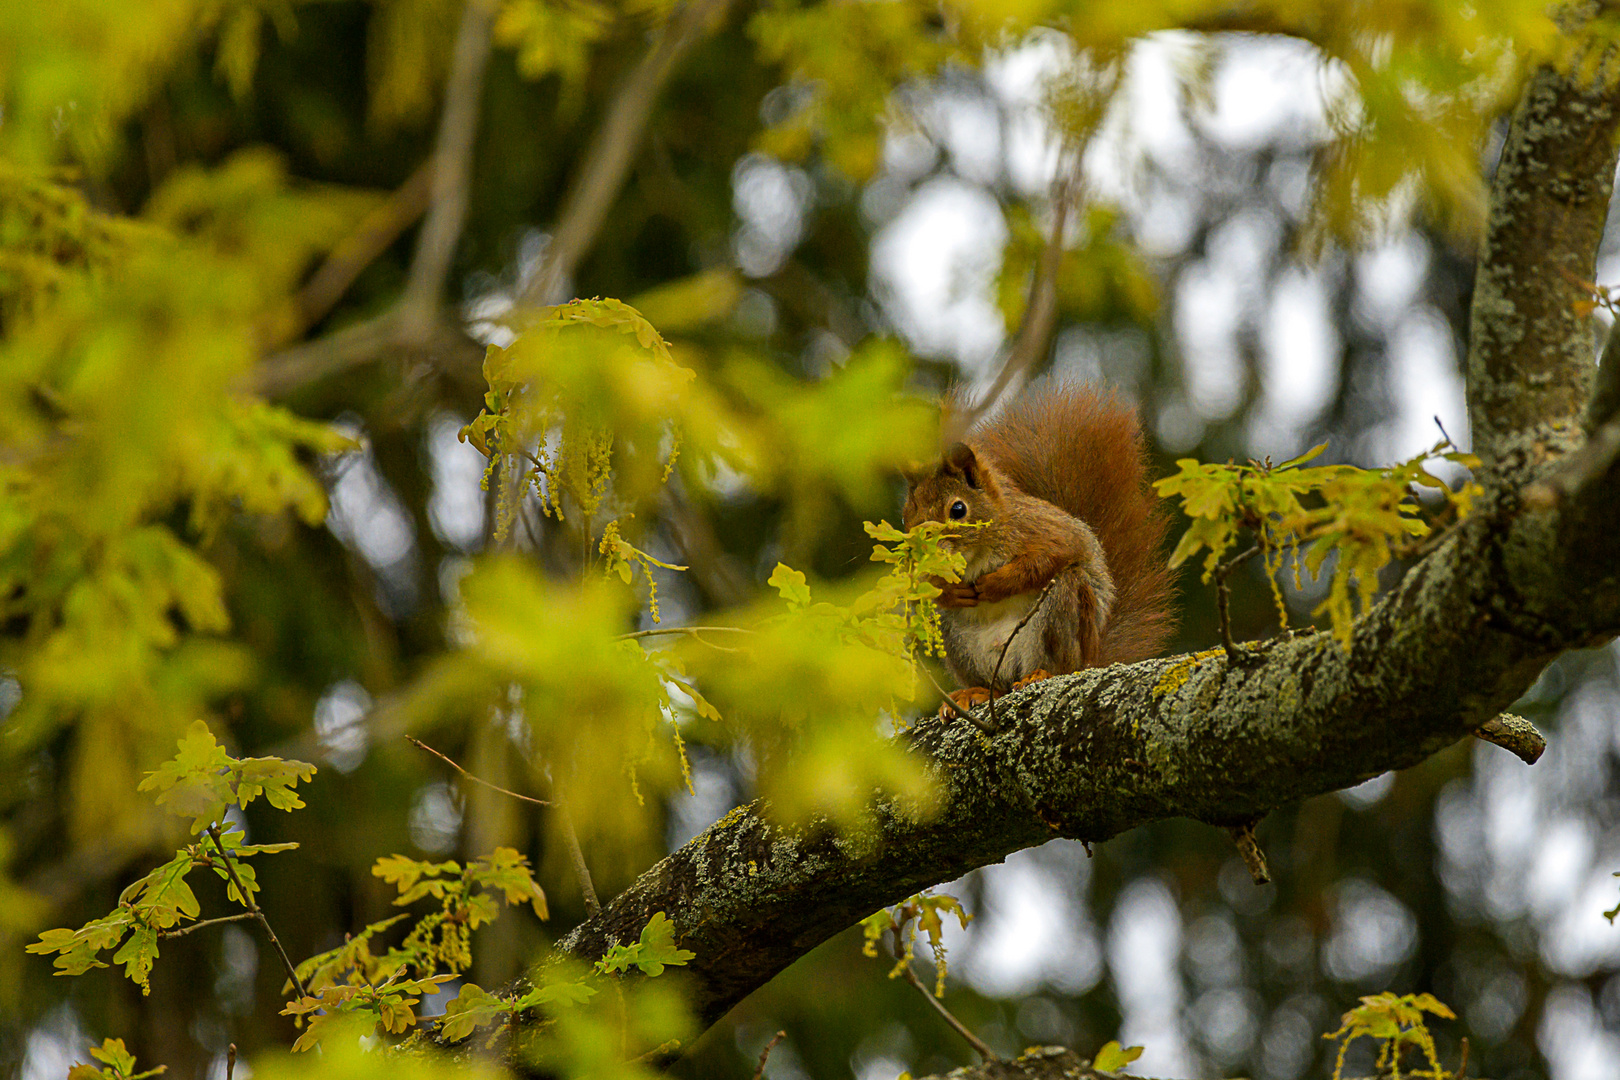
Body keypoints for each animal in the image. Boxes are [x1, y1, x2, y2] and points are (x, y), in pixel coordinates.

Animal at [900, 382, 1179, 709]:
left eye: (958, 509)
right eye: (907, 515)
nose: (922, 550)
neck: (975, 555)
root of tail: (1089, 660)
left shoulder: (1041, 529)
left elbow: (1053, 555)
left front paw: (995, 583)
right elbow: (926, 586)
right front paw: (952, 591)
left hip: (1061, 609)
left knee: (1057, 656)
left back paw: (1041, 674)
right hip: (958, 642)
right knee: (994, 686)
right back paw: (975, 692)